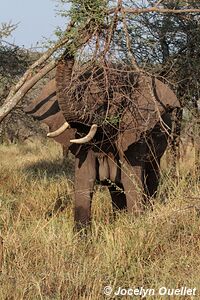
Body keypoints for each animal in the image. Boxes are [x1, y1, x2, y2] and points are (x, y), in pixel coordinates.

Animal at [24, 52, 180, 229]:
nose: (71, 52)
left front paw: (136, 226)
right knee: (116, 189)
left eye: (106, 100)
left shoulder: (135, 134)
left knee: (152, 176)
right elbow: (84, 180)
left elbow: (131, 181)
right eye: (79, 94)